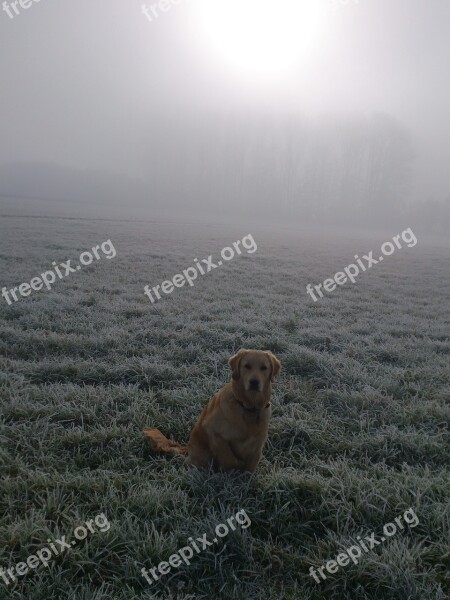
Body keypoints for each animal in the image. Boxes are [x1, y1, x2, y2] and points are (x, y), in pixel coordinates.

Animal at [142, 346, 280, 474]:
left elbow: (249, 469)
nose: (254, 382)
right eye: (247, 366)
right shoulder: (212, 430)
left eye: (264, 368)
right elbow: (229, 457)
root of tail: (187, 447)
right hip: (202, 458)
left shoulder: (257, 446)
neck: (248, 407)